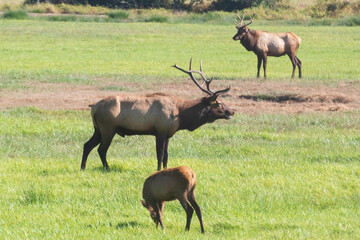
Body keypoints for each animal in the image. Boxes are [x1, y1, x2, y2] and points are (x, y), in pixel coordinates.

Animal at [80, 59, 235, 171]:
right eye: (218, 103)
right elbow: (159, 155)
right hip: (108, 128)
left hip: (98, 129)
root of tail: (94, 107)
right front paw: (158, 170)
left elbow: (166, 156)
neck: (181, 115)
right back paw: (107, 168)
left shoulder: (168, 134)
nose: (231, 111)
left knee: (87, 145)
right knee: (101, 149)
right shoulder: (160, 131)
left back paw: (82, 167)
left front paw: (166, 169)